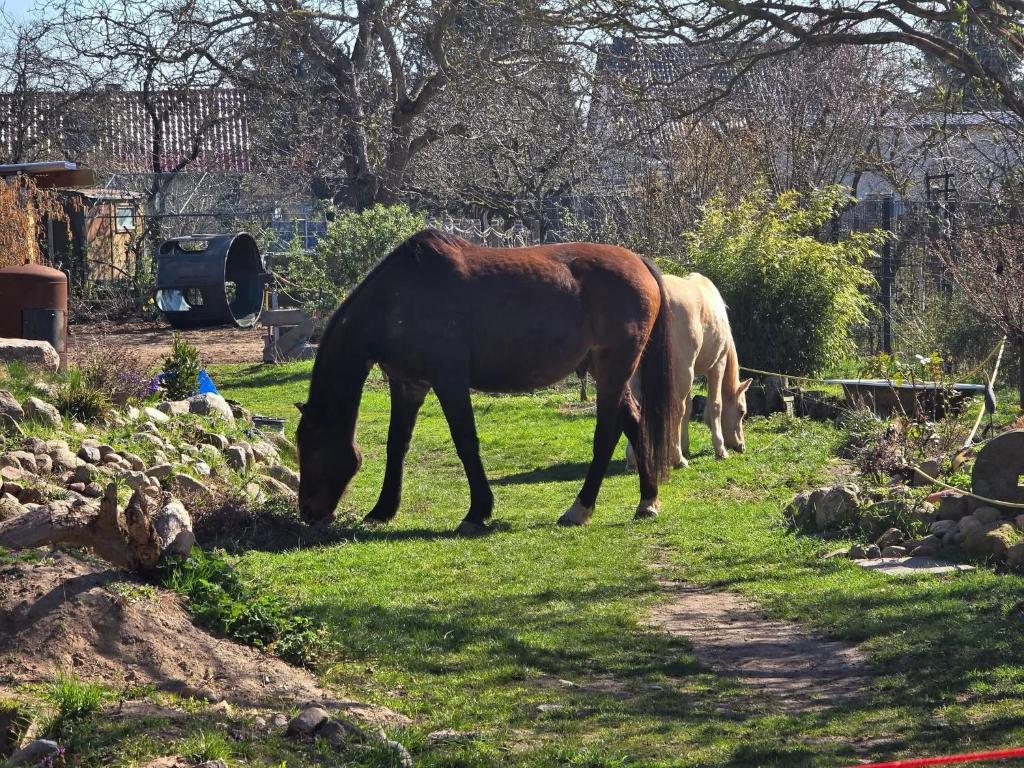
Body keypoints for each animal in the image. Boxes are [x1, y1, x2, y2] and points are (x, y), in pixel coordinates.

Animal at [295, 229, 679, 535]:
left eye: (311, 447)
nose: (308, 512)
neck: (398, 298)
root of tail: (639, 262)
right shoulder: (408, 385)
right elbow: (397, 444)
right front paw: (382, 510)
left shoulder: (449, 380)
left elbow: (466, 442)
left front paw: (477, 512)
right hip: (609, 372)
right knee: (634, 421)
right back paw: (647, 501)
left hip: (614, 369)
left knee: (607, 434)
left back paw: (579, 508)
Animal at [625, 272, 752, 470]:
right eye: (741, 411)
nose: (741, 446)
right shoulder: (717, 365)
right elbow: (715, 406)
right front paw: (720, 449)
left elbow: (689, 409)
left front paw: (685, 447)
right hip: (682, 371)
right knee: (676, 409)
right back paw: (678, 459)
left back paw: (634, 459)